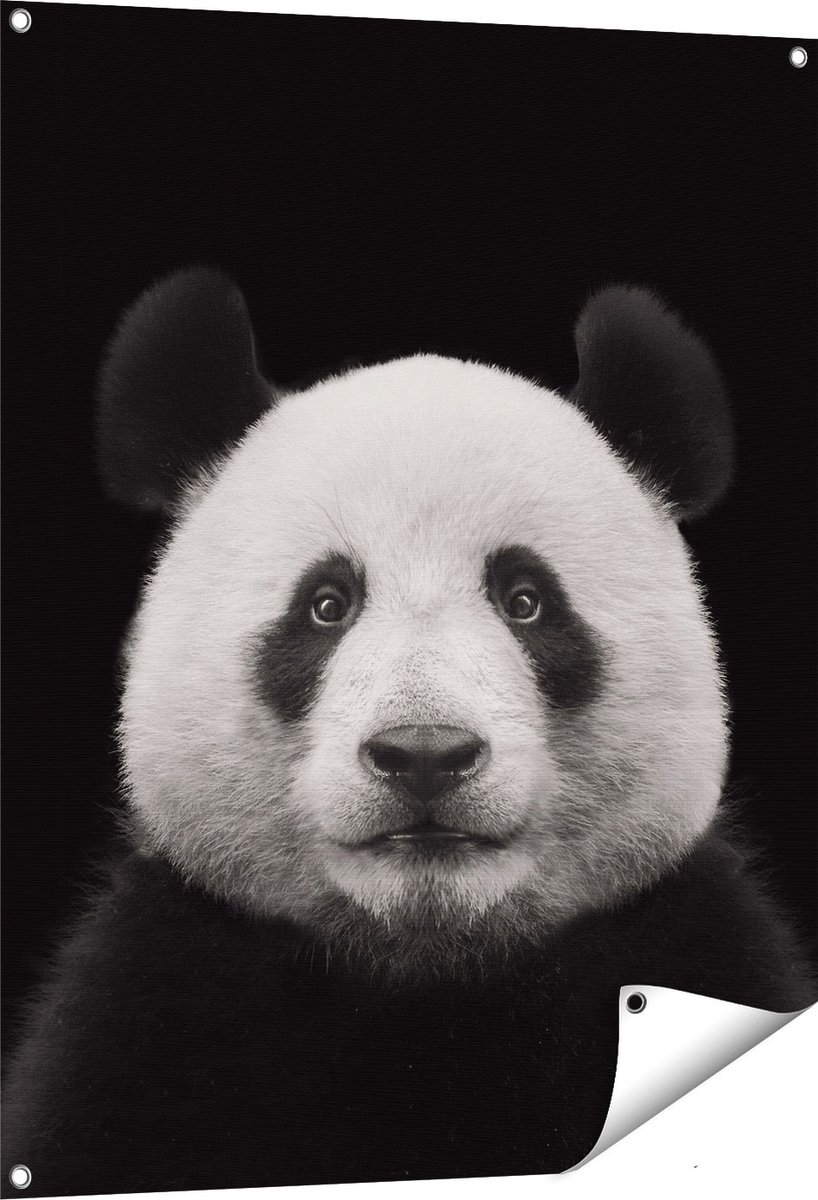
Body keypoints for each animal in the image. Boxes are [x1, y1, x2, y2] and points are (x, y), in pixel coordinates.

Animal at [2, 269, 814, 1197]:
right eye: (326, 604)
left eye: (526, 599)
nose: (425, 755)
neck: (425, 973)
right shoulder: (150, 1013)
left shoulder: (695, 944)